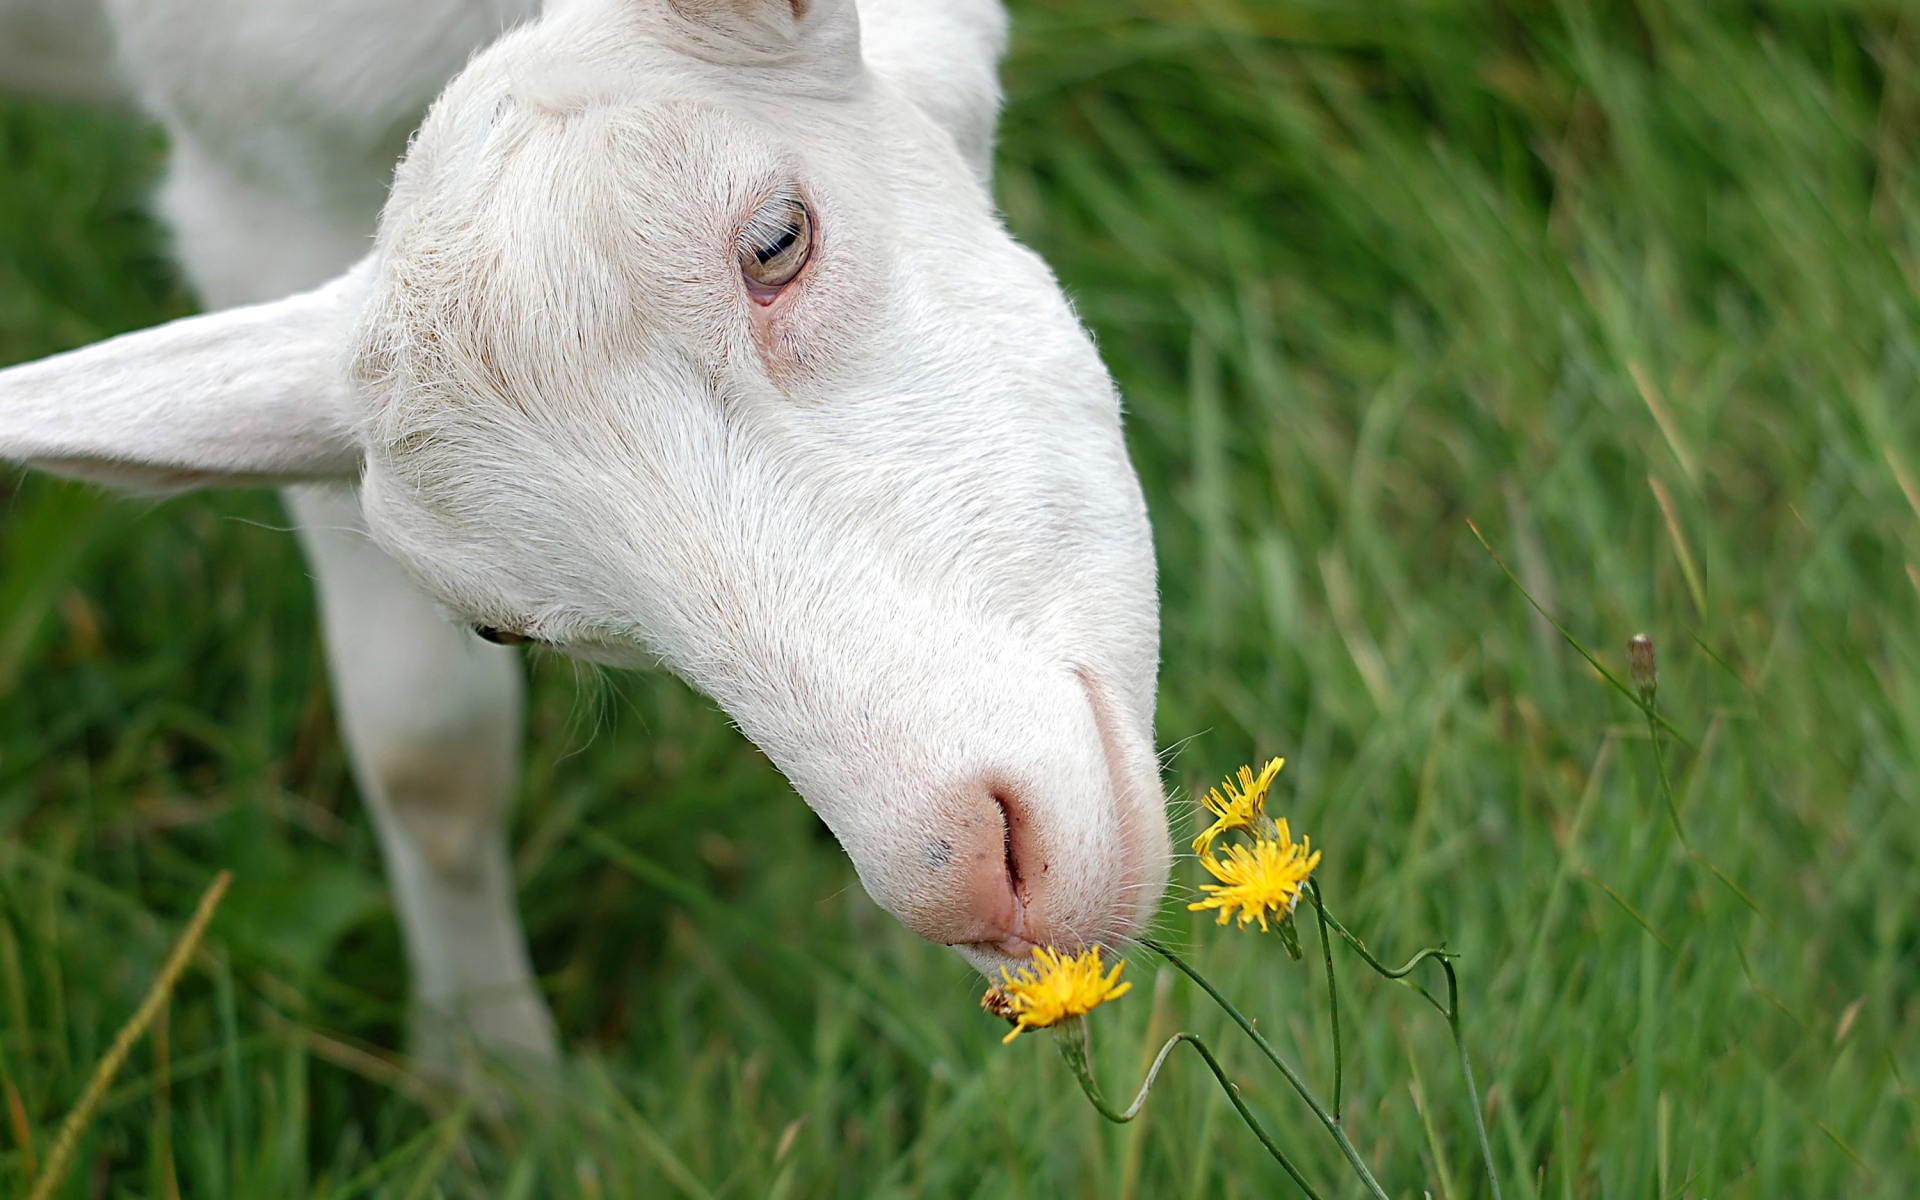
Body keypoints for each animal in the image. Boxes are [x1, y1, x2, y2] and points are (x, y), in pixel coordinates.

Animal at [0, 0, 1169, 1071]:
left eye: (777, 239)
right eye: (502, 632)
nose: (973, 879)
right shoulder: (255, 173)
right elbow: (427, 755)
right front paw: (495, 1082)